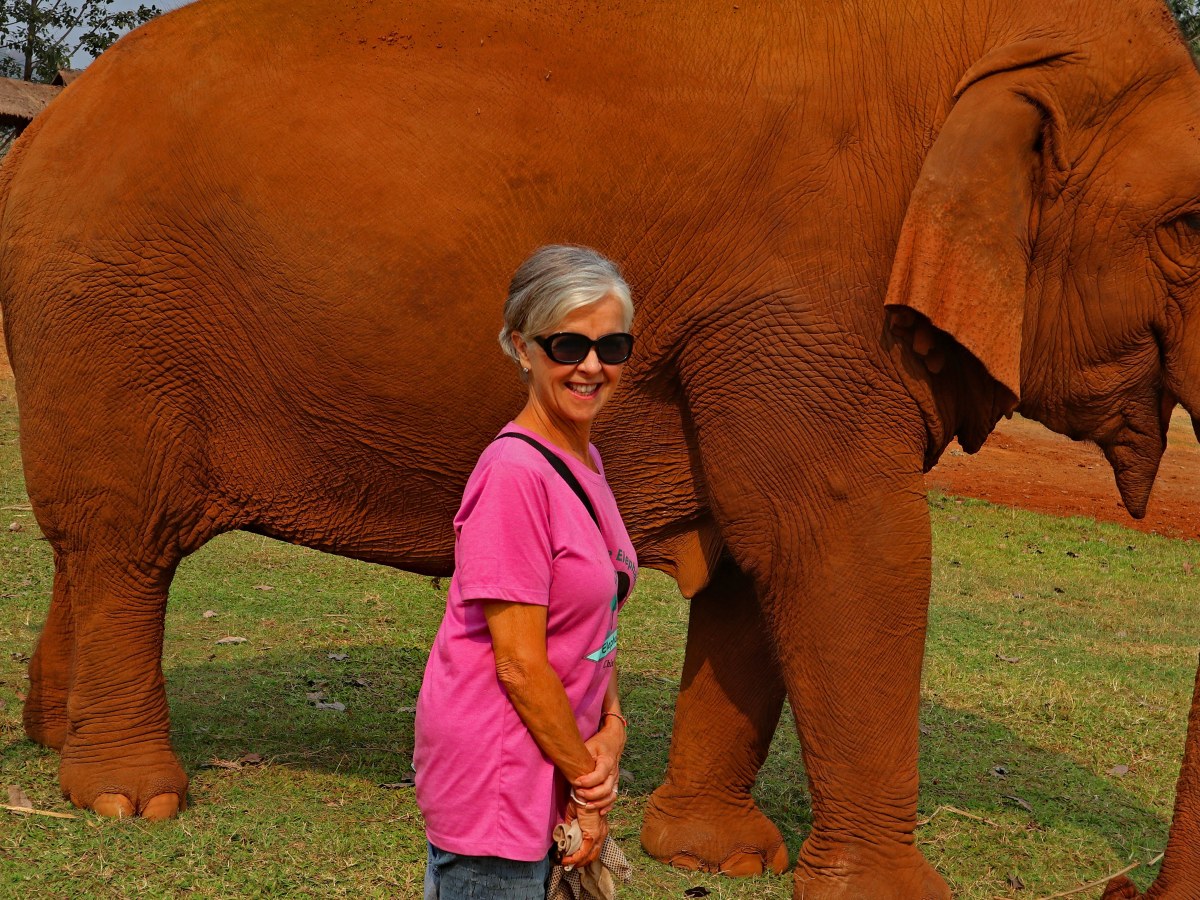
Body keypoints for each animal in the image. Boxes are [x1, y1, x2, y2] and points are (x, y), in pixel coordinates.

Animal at [4, 0, 1200, 896]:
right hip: (108, 312)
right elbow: (847, 544)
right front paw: (890, 896)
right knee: (123, 542)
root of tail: (43, 129)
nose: (1121, 886)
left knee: (88, 542)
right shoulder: (804, 294)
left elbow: (757, 556)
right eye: (1189, 225)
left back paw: (55, 742)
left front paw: (718, 856)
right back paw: (128, 797)